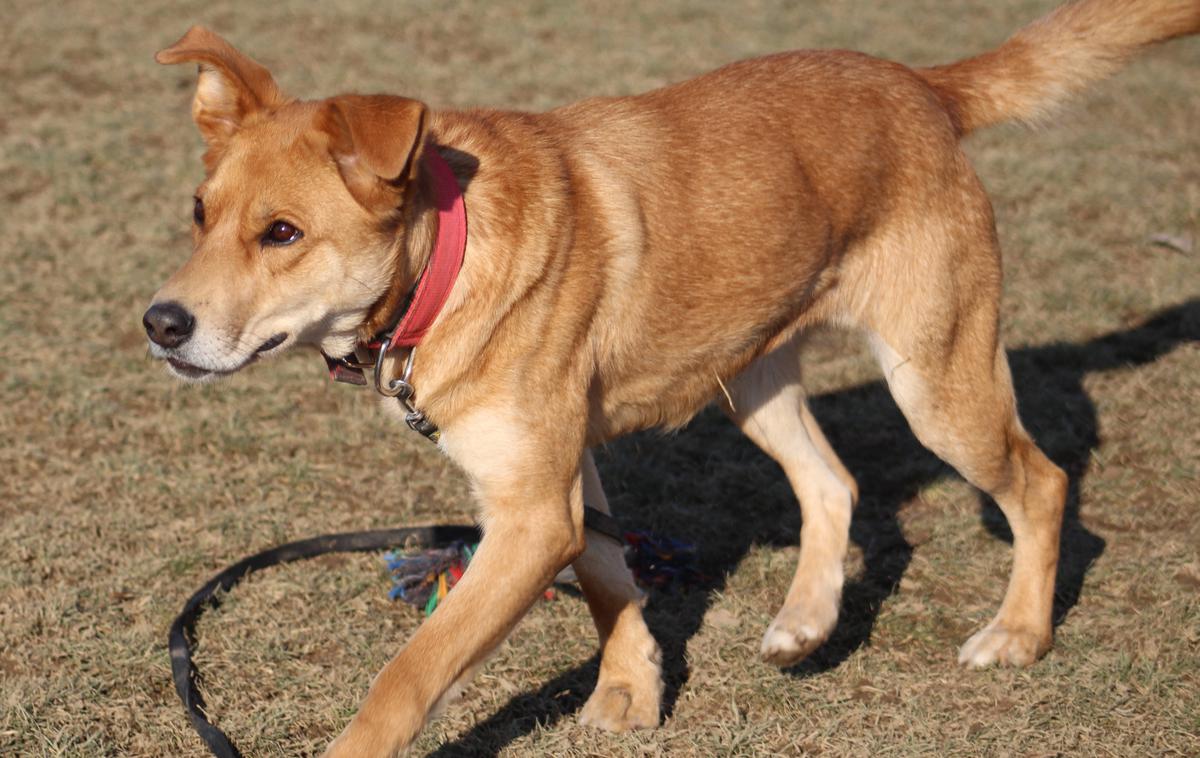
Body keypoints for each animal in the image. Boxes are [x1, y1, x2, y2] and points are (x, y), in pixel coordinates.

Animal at [147, 2, 1200, 753]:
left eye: (282, 233)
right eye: (199, 212)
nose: (160, 325)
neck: (448, 259)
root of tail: (917, 83)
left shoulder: (531, 511)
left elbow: (410, 675)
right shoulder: (553, 483)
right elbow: (608, 573)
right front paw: (632, 685)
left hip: (936, 383)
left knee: (1042, 481)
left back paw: (1018, 633)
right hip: (751, 374)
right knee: (833, 481)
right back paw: (808, 619)